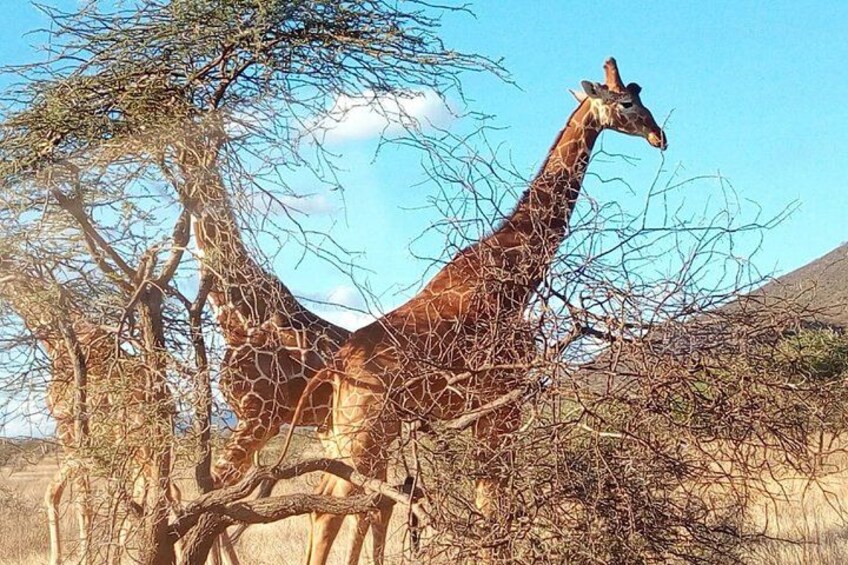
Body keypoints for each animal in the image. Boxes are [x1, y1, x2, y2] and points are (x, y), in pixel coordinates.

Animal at [0, 260, 180, 565]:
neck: (56, 337)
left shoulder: (68, 427)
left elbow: (79, 499)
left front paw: (82, 557)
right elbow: (56, 493)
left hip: (137, 443)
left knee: (159, 495)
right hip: (142, 448)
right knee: (163, 494)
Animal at [280, 58, 668, 564]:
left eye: (643, 97)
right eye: (627, 103)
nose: (661, 136)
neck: (518, 276)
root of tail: (334, 369)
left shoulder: (487, 414)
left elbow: (489, 506)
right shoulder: (503, 408)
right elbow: (492, 510)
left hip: (345, 433)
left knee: (326, 505)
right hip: (364, 433)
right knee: (330, 510)